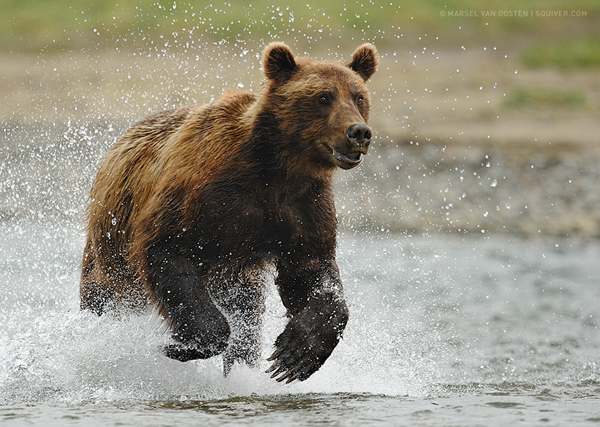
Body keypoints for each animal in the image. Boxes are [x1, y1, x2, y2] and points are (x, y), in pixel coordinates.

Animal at [82, 42, 378, 384]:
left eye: (358, 96)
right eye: (323, 97)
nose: (359, 132)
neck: (276, 168)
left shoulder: (303, 207)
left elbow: (312, 273)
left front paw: (294, 354)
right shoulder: (203, 194)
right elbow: (168, 249)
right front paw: (178, 345)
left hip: (240, 276)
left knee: (246, 316)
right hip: (110, 244)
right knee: (104, 296)